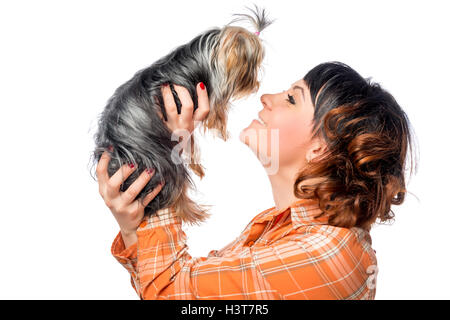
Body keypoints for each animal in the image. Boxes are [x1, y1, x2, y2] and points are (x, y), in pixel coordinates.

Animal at [89, 5, 272, 225]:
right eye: (251, 66)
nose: (256, 85)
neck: (207, 52)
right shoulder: (209, 97)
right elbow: (215, 118)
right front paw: (222, 131)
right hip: (161, 162)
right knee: (176, 188)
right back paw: (195, 213)